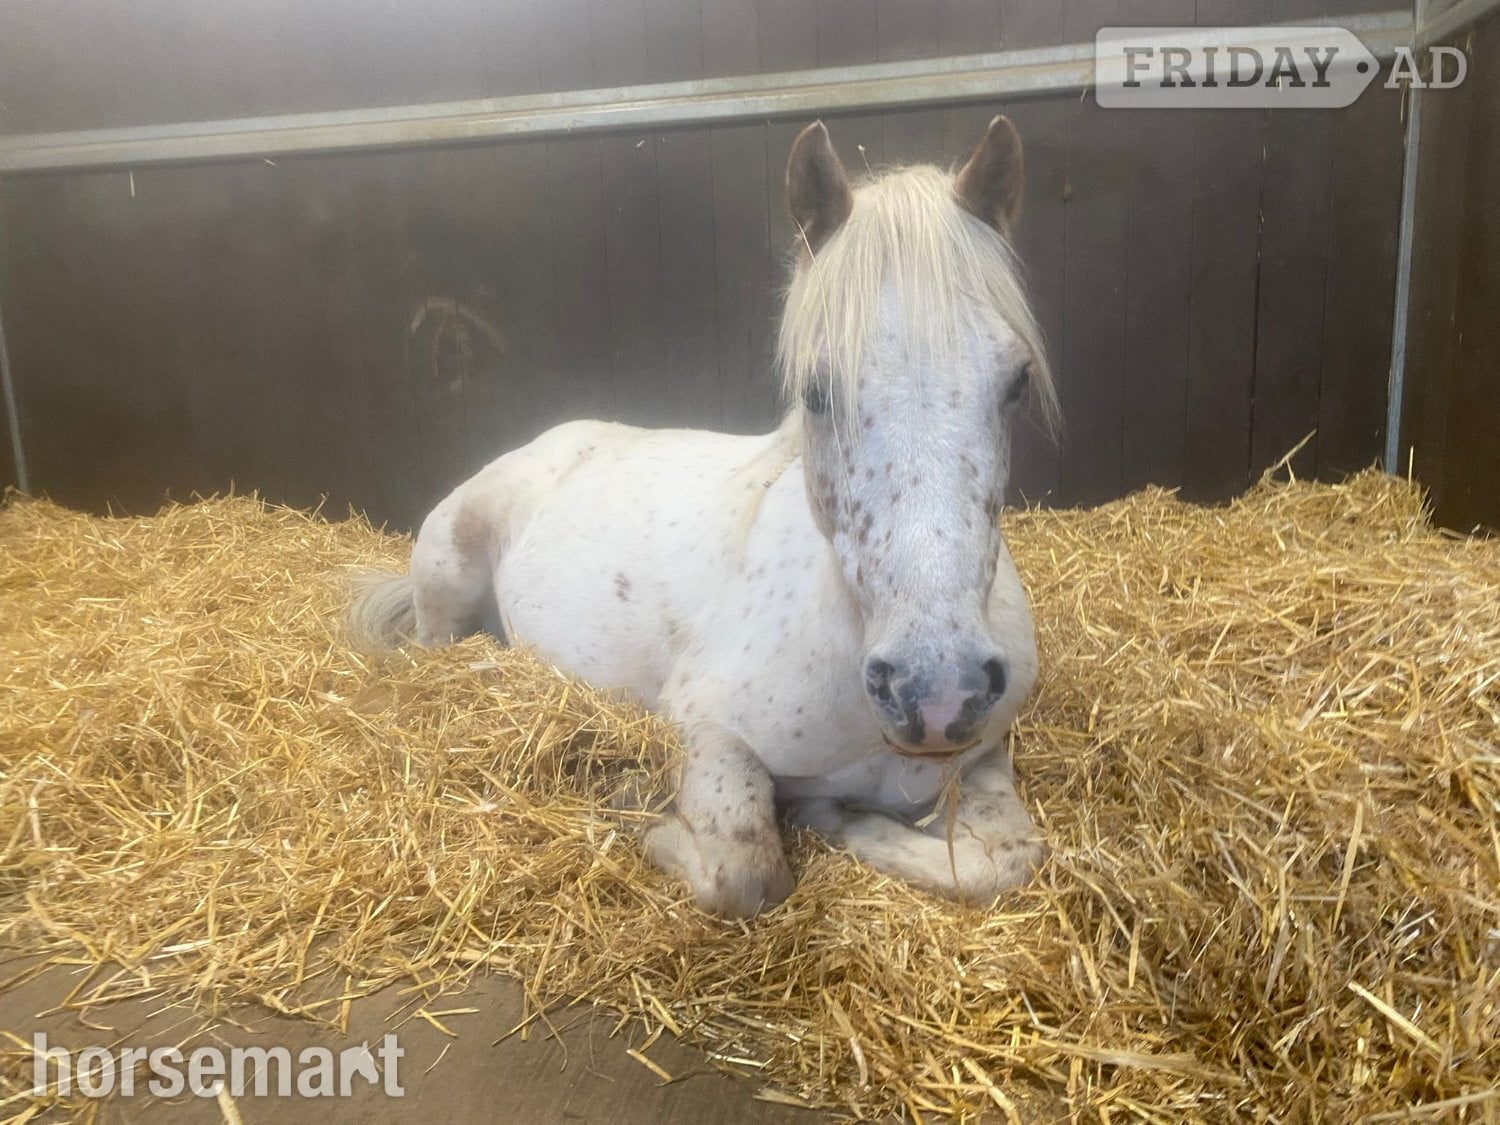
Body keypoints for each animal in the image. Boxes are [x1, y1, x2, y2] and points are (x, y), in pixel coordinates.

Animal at [349, 116, 1056, 919]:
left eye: (1017, 381)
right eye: (816, 390)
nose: (936, 692)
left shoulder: (984, 757)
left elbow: (1005, 860)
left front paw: (839, 818)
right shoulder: (707, 730)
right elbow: (746, 870)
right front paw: (635, 801)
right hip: (447, 575)